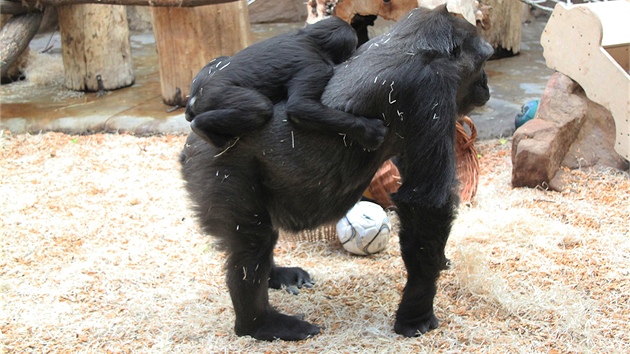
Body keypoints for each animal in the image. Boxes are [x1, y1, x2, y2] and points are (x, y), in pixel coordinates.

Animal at [185, 17, 388, 149]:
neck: (310, 39)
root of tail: (195, 99)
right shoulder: (318, 68)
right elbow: (300, 107)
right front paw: (369, 130)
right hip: (215, 95)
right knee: (259, 108)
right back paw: (201, 127)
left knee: (220, 60)